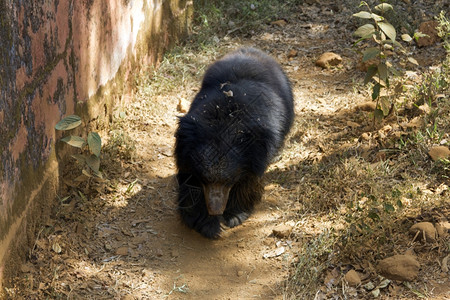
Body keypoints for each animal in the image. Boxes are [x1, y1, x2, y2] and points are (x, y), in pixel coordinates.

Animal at [174, 47, 294, 239]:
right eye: (204, 179)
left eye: (228, 181)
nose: (215, 210)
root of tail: (252, 50)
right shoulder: (187, 145)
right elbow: (189, 181)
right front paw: (205, 223)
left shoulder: (257, 151)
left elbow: (248, 181)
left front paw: (234, 216)